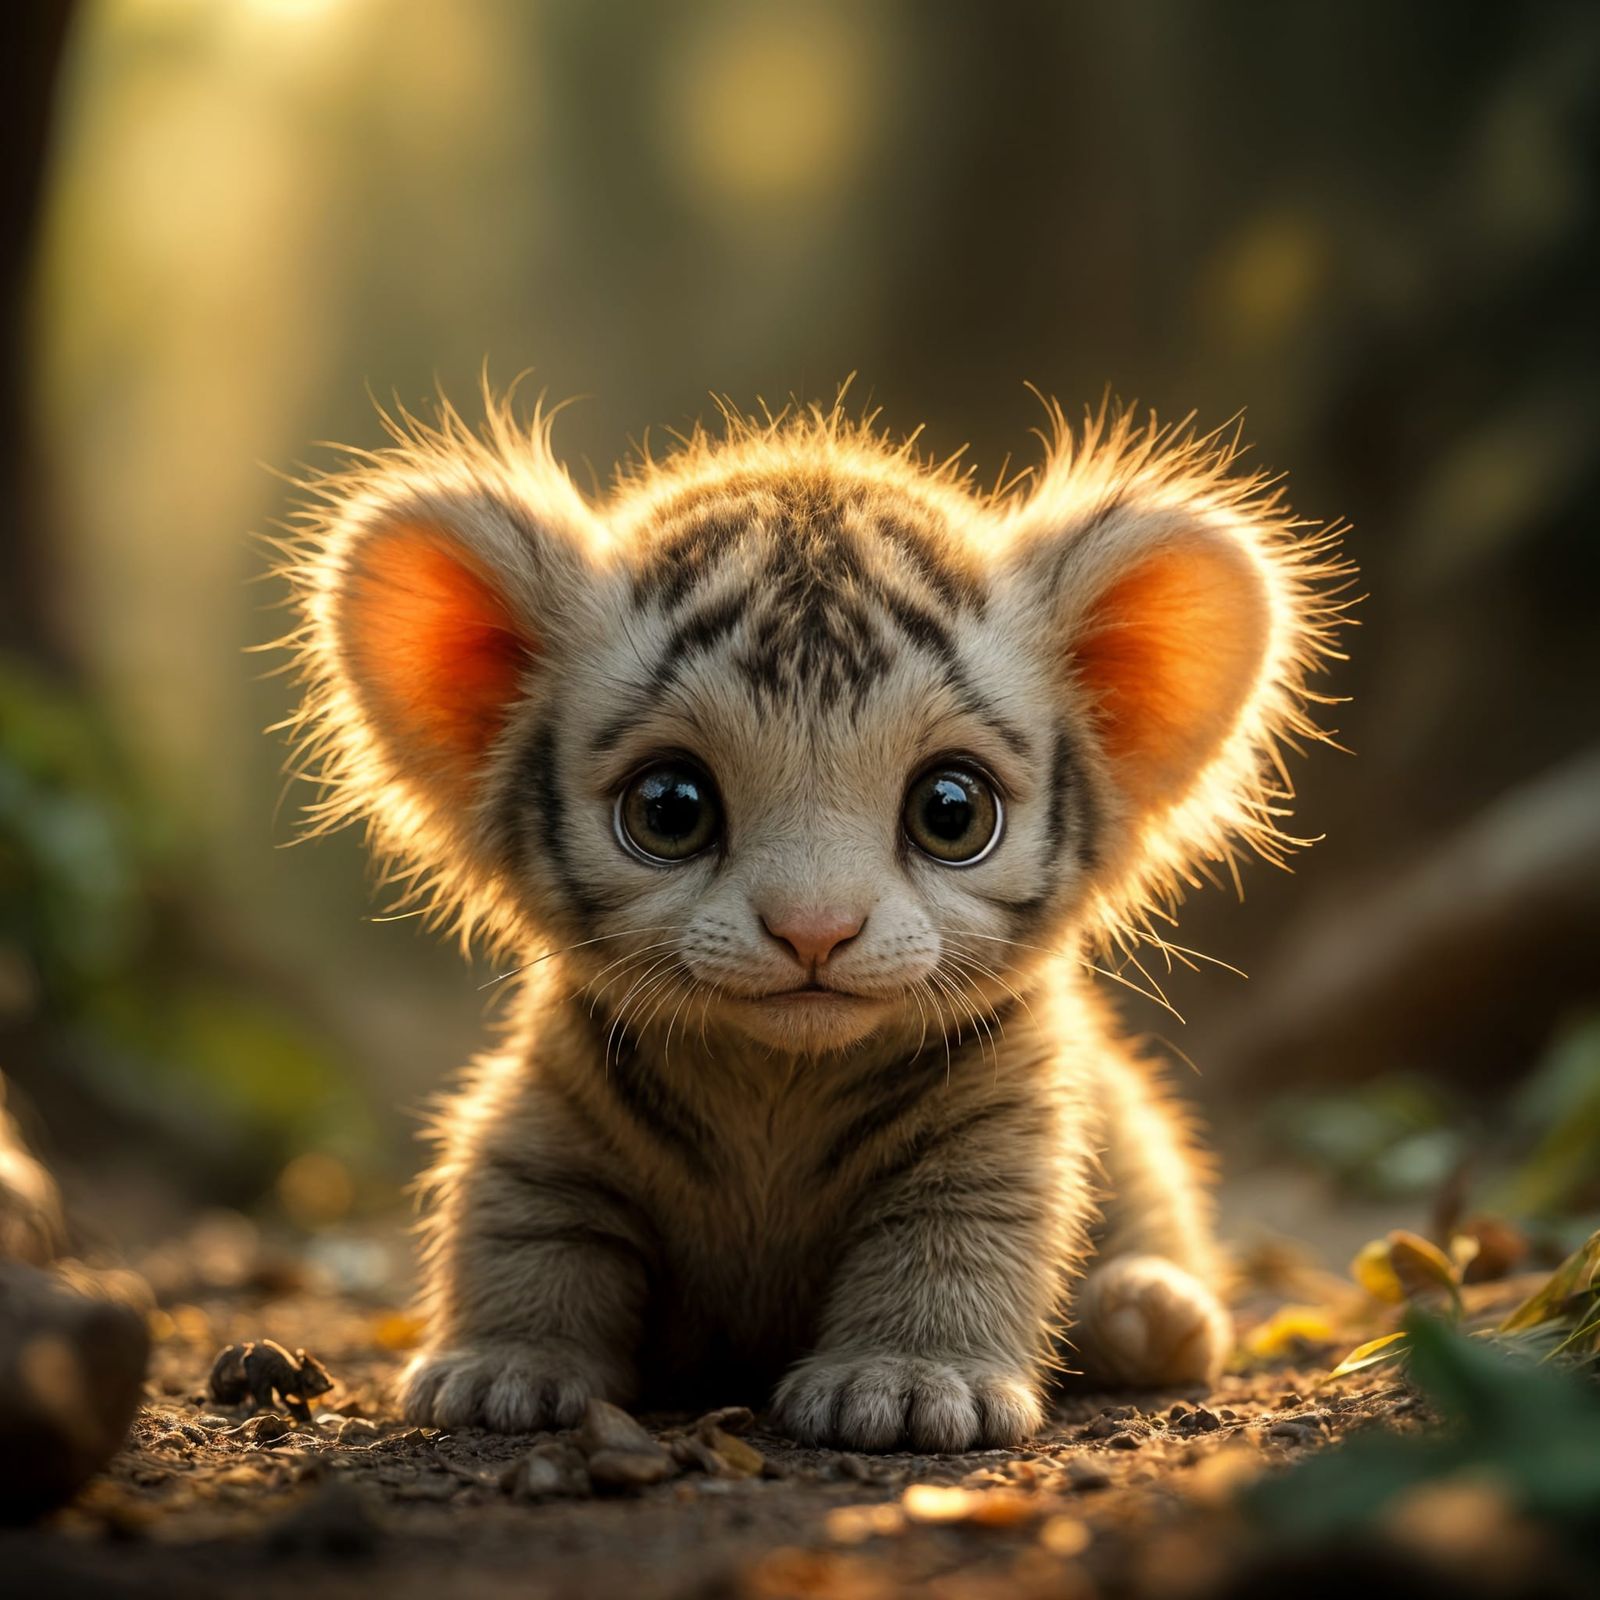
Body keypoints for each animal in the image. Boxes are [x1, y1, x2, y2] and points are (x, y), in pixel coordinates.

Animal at [274, 387, 1349, 1451]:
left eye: (950, 811)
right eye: (669, 807)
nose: (814, 928)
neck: (773, 1090)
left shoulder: (995, 1138)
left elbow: (952, 1244)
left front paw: (909, 1380)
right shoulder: (546, 1115)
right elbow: (524, 1223)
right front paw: (504, 1365)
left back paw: (1145, 1311)